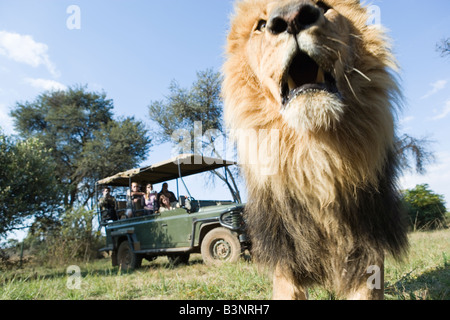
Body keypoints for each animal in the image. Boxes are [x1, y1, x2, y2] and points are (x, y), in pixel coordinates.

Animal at [223, 0, 410, 300]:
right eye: (261, 25)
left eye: (323, 6)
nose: (291, 18)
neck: (315, 155)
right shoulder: (286, 254)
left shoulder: (367, 248)